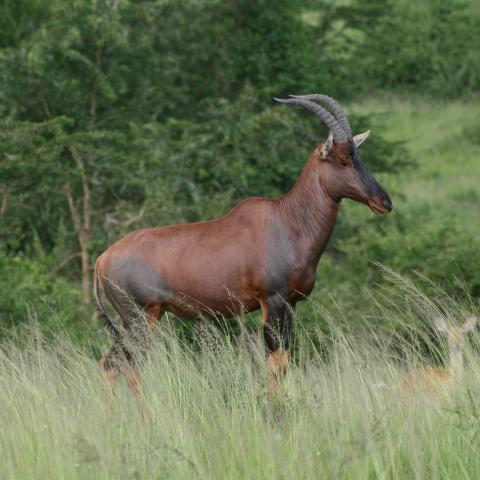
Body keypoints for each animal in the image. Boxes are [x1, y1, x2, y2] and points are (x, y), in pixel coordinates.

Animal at [93, 94, 390, 412]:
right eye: (343, 158)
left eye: (359, 156)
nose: (384, 202)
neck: (286, 220)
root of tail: (102, 259)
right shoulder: (272, 301)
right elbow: (273, 362)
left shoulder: (291, 304)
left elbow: (284, 362)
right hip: (137, 318)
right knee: (121, 365)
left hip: (149, 316)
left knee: (116, 364)